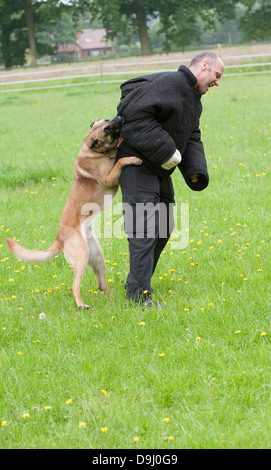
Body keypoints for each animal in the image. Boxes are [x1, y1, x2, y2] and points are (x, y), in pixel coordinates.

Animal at [5, 117, 142, 308]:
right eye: (107, 129)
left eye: (107, 120)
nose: (120, 118)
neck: (94, 151)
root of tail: (59, 240)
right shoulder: (110, 178)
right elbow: (120, 162)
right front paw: (132, 158)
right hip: (81, 257)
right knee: (75, 287)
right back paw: (81, 305)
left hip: (97, 257)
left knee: (102, 285)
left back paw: (113, 301)